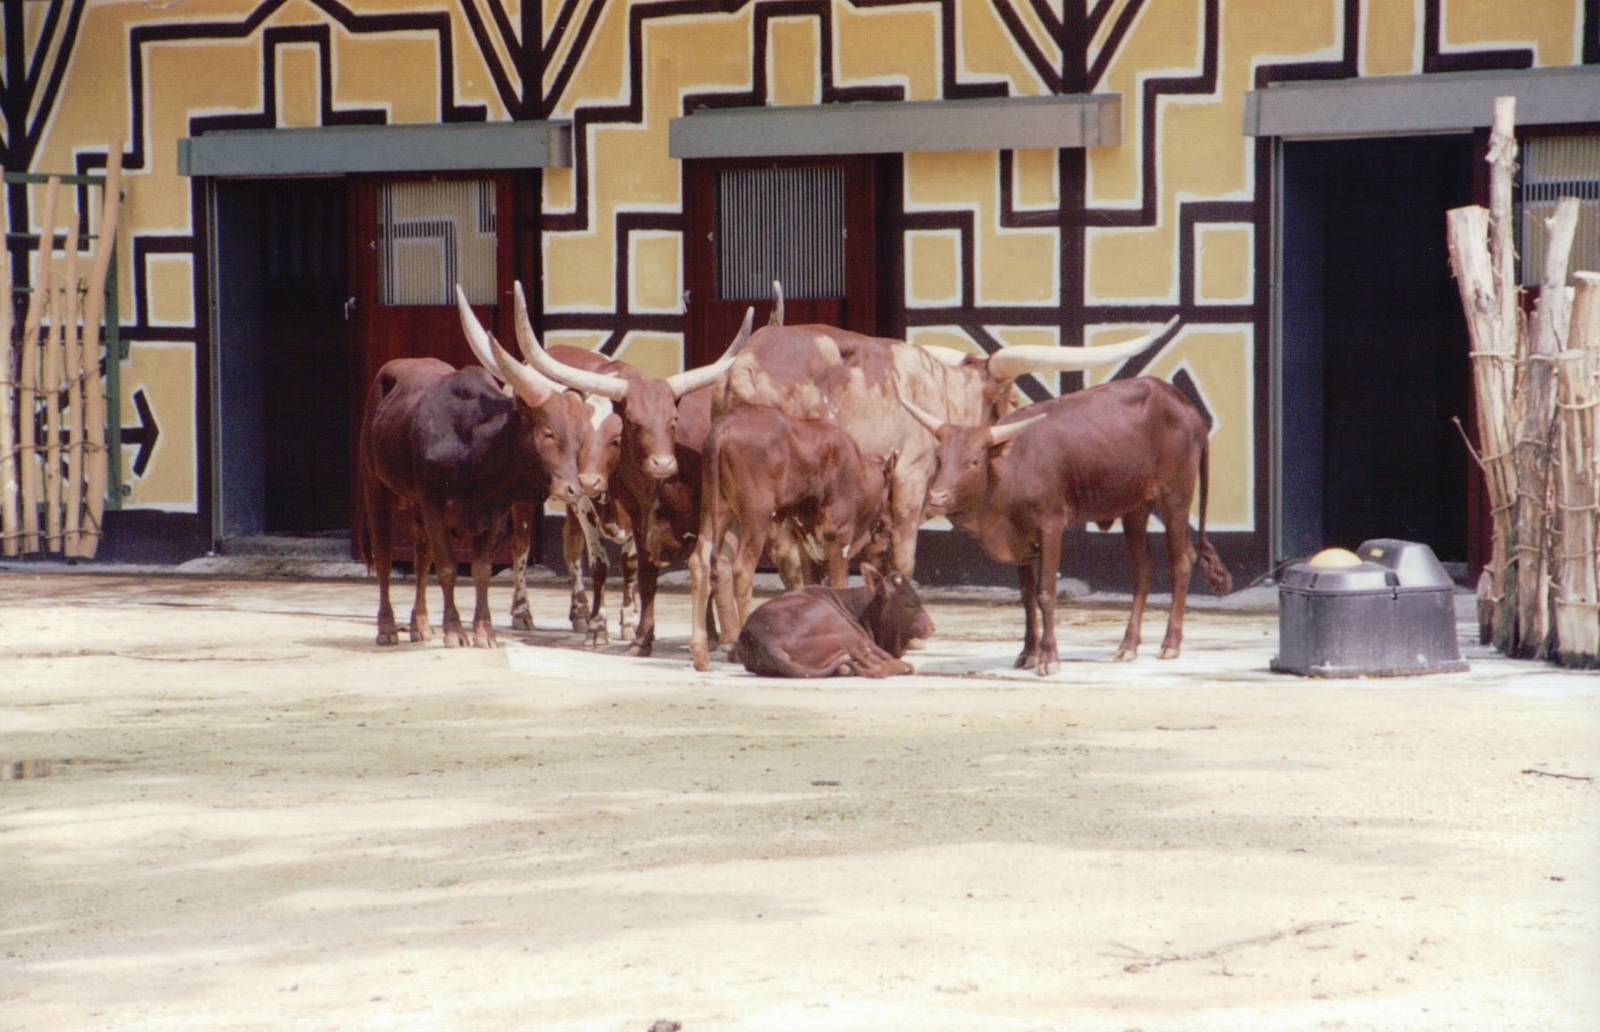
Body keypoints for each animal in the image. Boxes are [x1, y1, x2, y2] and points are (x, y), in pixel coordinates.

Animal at [356, 291, 603, 649]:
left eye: (580, 435)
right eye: (548, 433)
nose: (574, 489)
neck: (474, 448)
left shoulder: (494, 512)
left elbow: (481, 569)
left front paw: (484, 631)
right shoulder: (433, 504)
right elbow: (447, 567)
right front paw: (455, 631)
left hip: (415, 504)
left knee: (420, 556)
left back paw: (420, 624)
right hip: (376, 486)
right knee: (385, 555)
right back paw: (387, 627)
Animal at [686, 405, 896, 671]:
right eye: (889, 490)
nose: (889, 523)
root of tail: (722, 427)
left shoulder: (806, 542)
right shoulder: (839, 538)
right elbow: (838, 585)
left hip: (718, 508)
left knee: (700, 561)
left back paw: (701, 653)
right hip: (756, 513)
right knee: (742, 569)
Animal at [717, 318, 1179, 584]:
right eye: (1012, 400)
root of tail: (747, 365)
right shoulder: (909, 479)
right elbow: (902, 558)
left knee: (720, 557)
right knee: (783, 558)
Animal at [898, 377, 1232, 674]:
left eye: (974, 461)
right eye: (939, 458)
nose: (937, 497)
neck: (1011, 470)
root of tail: (1185, 405)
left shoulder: (1051, 527)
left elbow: (1045, 593)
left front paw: (1048, 658)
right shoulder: (1020, 539)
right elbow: (1027, 595)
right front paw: (1028, 653)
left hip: (1176, 498)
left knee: (1181, 564)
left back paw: (1170, 643)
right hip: (1135, 509)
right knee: (1143, 572)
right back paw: (1128, 645)